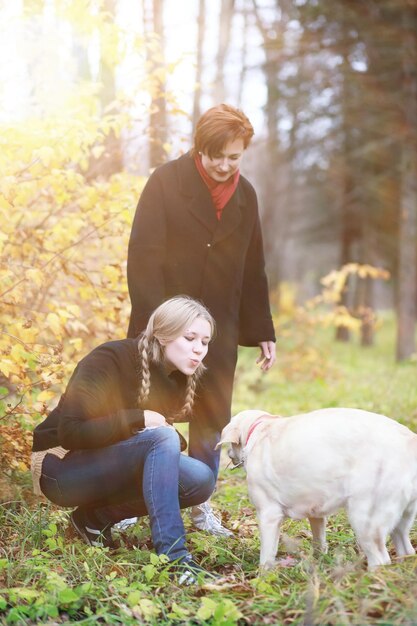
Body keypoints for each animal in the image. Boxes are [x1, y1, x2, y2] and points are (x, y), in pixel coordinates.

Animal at [216, 408, 416, 568]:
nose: (228, 453)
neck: (261, 429)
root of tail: (409, 441)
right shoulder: (316, 513)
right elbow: (319, 541)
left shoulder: (269, 515)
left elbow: (267, 556)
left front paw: (263, 576)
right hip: (400, 521)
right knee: (407, 550)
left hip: (366, 522)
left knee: (381, 560)